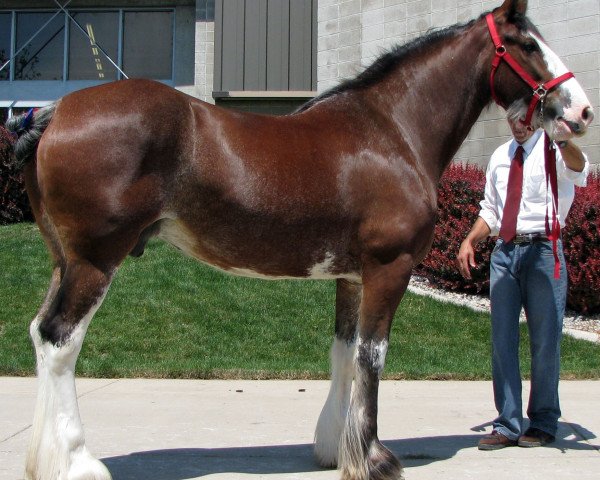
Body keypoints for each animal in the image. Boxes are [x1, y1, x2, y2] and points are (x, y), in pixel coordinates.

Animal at [4, 0, 592, 480]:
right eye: (527, 44)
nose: (581, 111)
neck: (391, 131)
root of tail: (59, 110)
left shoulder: (351, 277)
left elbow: (344, 353)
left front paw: (335, 449)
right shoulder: (390, 268)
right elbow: (373, 357)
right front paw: (373, 459)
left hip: (65, 261)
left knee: (39, 334)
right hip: (95, 261)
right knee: (59, 341)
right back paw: (77, 463)